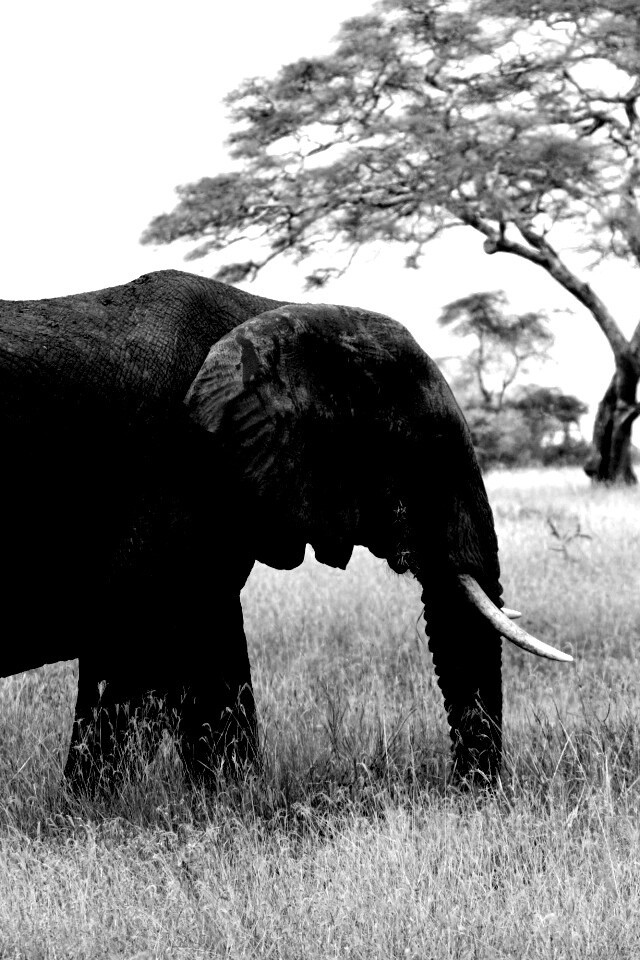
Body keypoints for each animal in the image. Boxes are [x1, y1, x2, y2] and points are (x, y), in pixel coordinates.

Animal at [0, 269, 571, 789]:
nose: (469, 792)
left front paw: (231, 800)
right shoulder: (175, 472)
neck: (274, 312)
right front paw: (87, 808)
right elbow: (139, 645)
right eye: (423, 454)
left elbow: (212, 651)